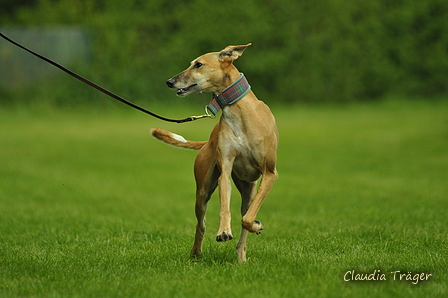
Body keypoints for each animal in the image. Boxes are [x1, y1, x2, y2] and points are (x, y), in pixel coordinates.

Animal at [150, 43, 276, 260]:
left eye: (198, 64)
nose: (169, 82)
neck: (240, 111)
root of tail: (207, 141)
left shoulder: (270, 173)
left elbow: (247, 218)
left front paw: (256, 225)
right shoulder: (224, 170)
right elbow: (225, 207)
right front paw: (224, 231)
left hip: (249, 189)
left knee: (245, 215)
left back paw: (241, 255)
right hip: (203, 191)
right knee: (201, 224)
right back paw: (196, 253)